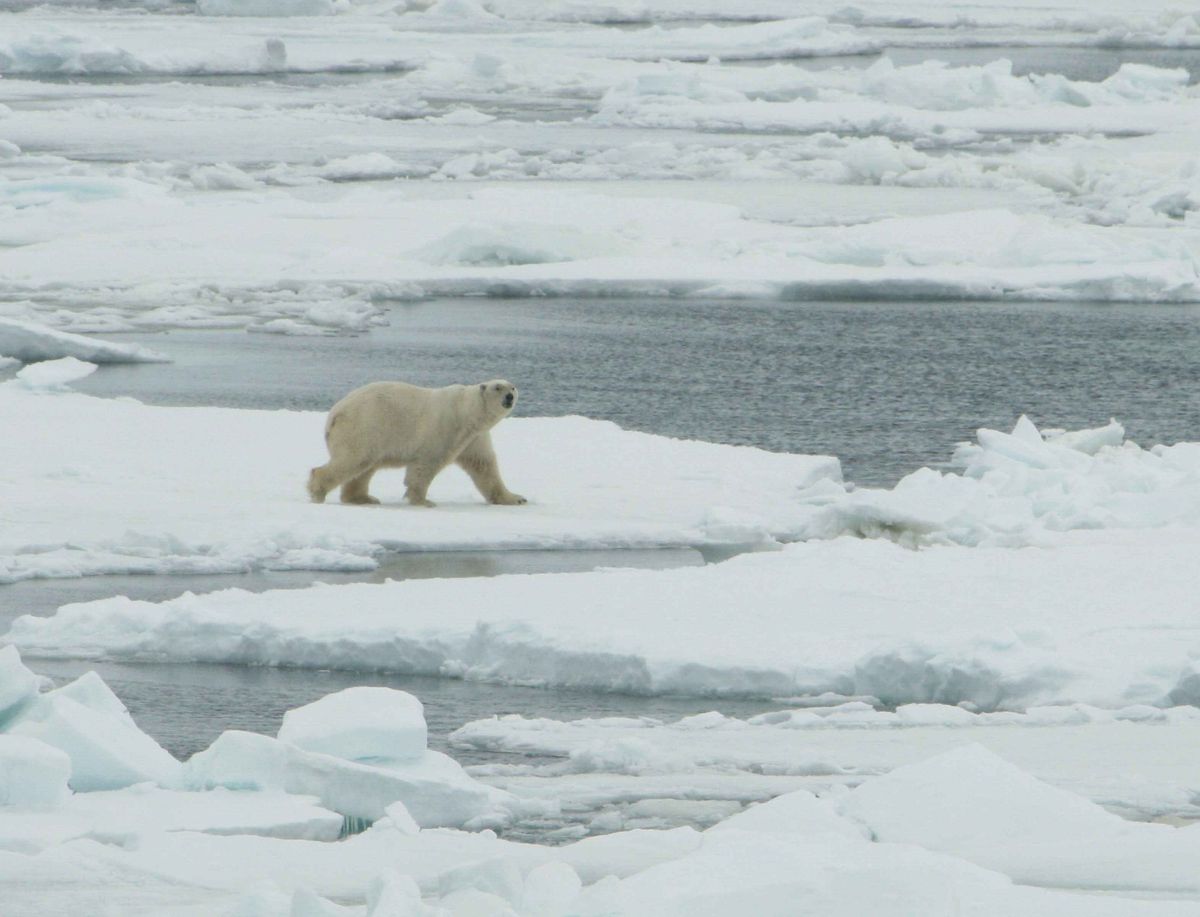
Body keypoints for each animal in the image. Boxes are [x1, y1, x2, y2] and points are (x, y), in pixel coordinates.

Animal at [309, 379, 525, 508]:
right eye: (497, 387)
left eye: (512, 386)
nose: (509, 397)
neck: (465, 412)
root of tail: (334, 413)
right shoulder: (444, 428)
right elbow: (426, 465)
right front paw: (423, 501)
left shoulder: (474, 438)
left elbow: (484, 465)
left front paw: (516, 498)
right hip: (363, 427)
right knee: (353, 460)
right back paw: (317, 492)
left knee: (364, 467)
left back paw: (362, 498)